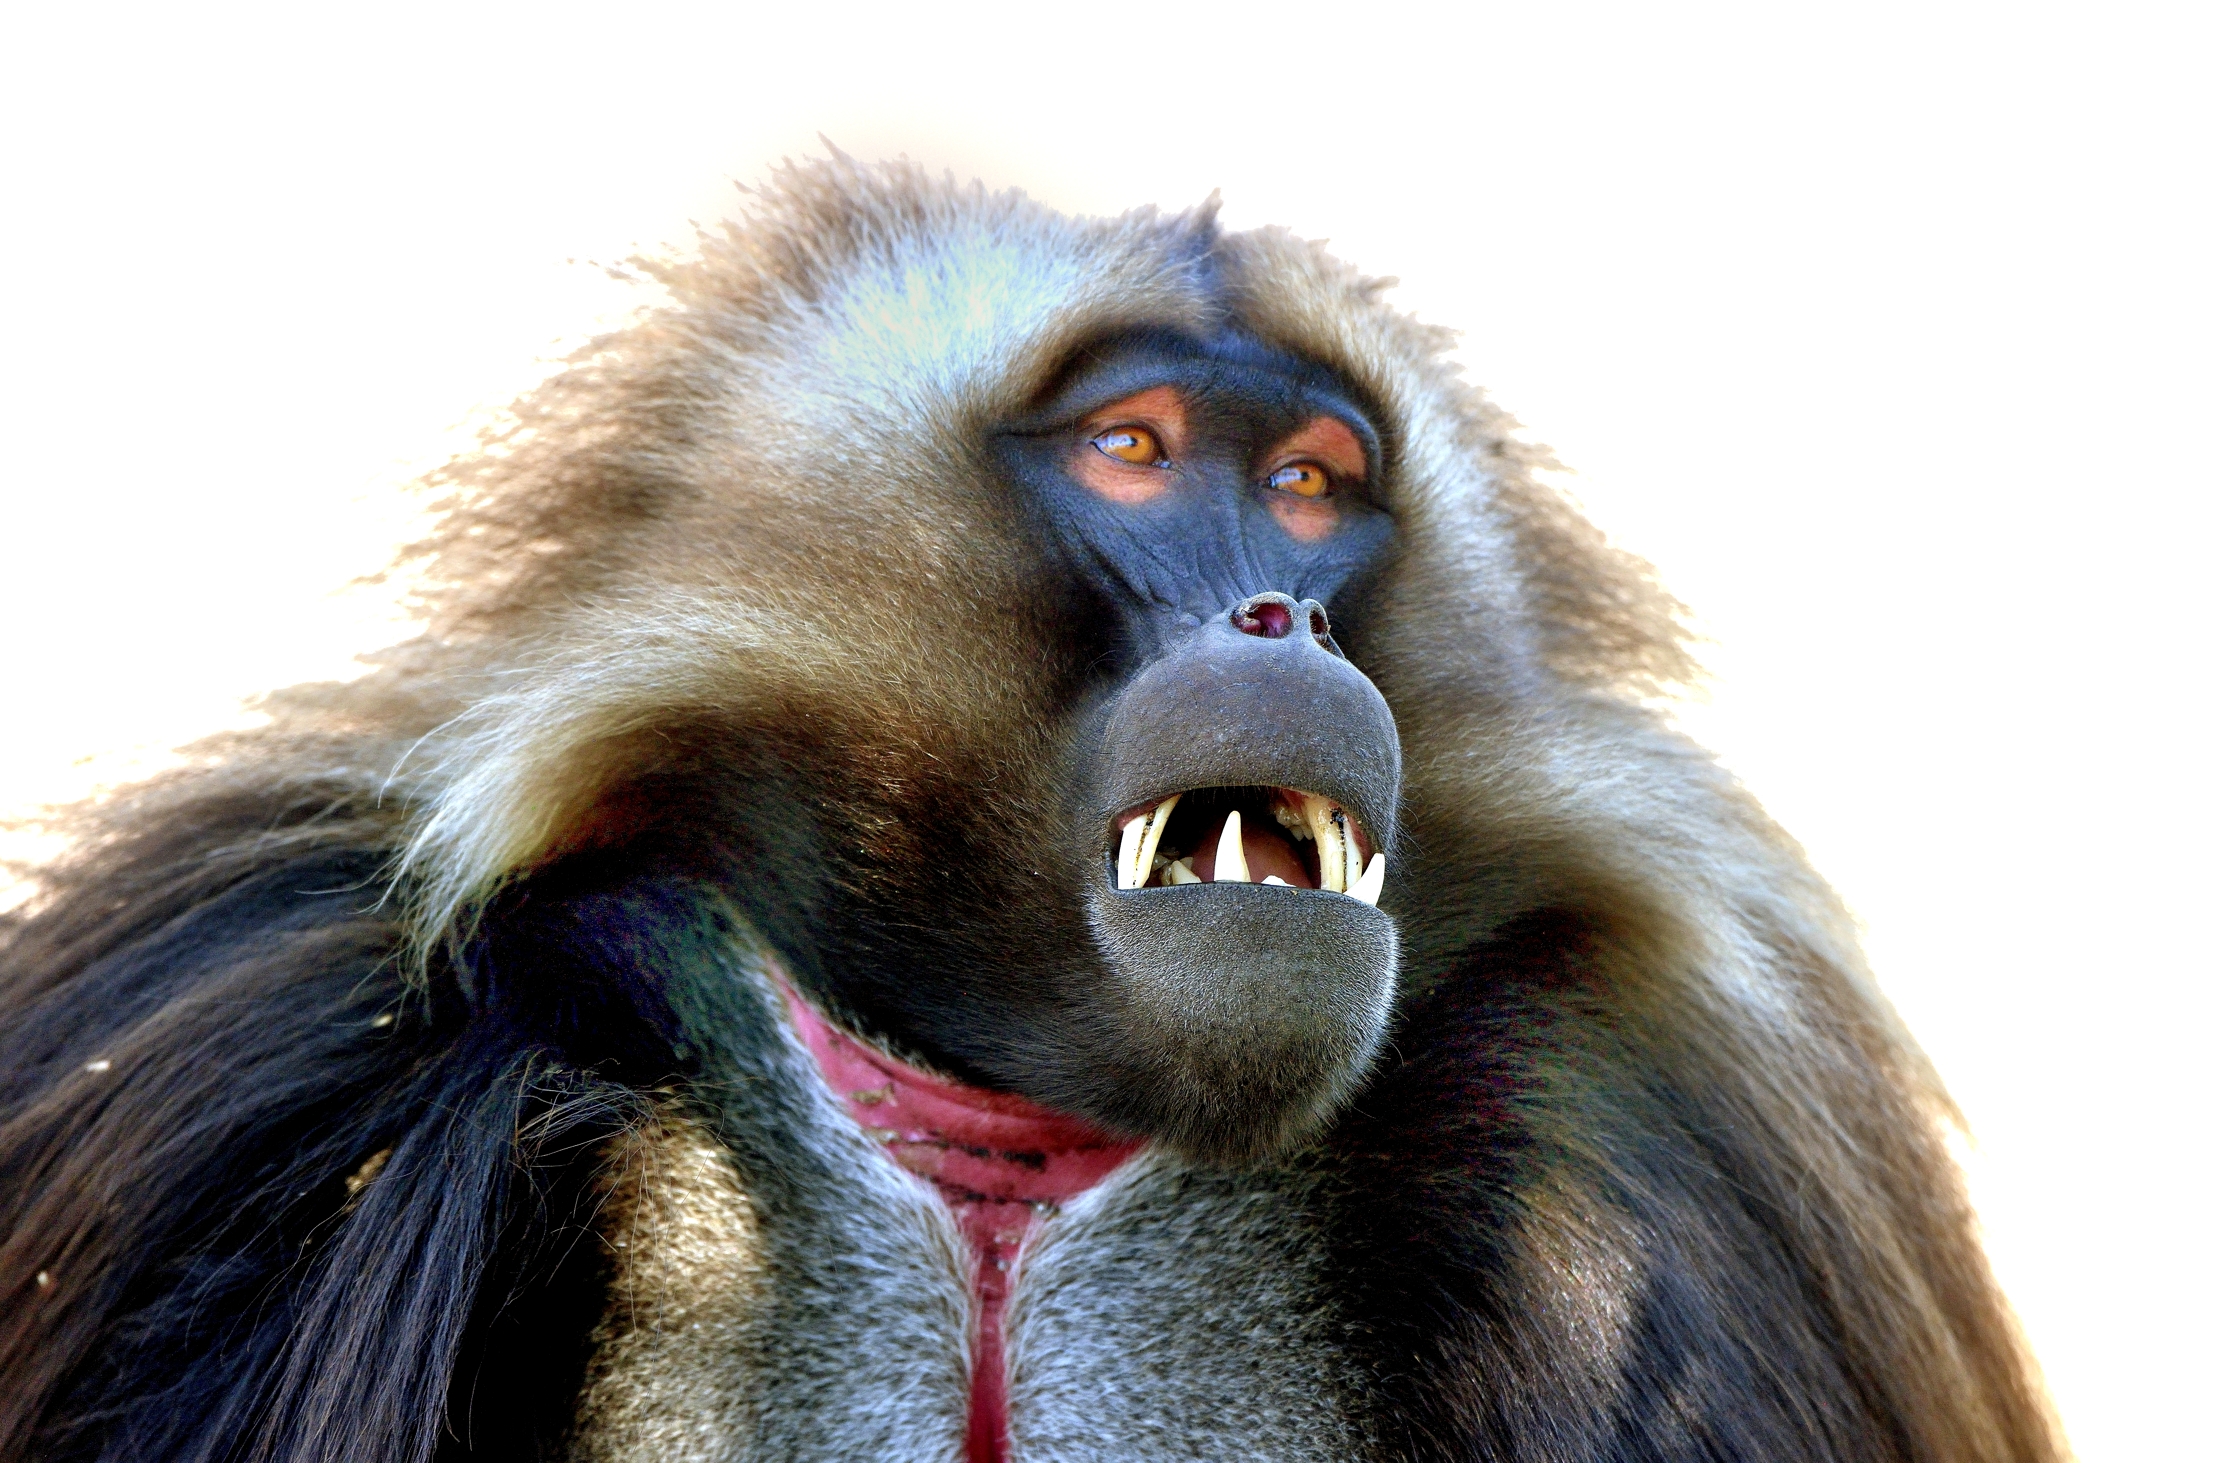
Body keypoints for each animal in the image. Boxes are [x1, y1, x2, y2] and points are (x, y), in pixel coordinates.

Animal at [0, 156, 2060, 1463]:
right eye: (1132, 452)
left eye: (1311, 486)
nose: (1281, 619)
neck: (1012, 1153)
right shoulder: (240, 1014)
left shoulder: (1685, 1156)